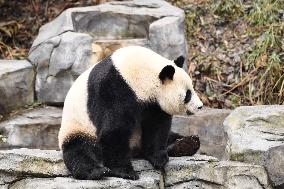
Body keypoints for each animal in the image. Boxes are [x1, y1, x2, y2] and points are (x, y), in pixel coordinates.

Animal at [58, 45, 203, 180]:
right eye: (188, 94)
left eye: (192, 89)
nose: (200, 106)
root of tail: (135, 149)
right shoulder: (113, 88)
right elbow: (114, 129)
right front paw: (125, 171)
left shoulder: (153, 104)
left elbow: (157, 127)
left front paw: (159, 158)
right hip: (79, 127)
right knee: (80, 150)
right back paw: (96, 171)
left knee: (172, 136)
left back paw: (187, 143)